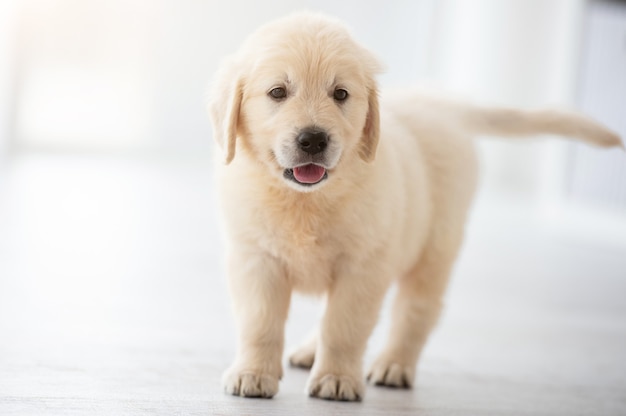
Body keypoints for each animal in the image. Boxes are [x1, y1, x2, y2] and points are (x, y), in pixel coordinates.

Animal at [208, 13, 620, 404]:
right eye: (277, 92)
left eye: (340, 94)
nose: (313, 139)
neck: (306, 198)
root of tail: (447, 106)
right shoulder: (256, 258)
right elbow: (260, 323)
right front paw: (253, 373)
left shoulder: (363, 266)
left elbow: (344, 327)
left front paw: (337, 379)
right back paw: (310, 351)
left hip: (434, 252)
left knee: (416, 312)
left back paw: (394, 365)